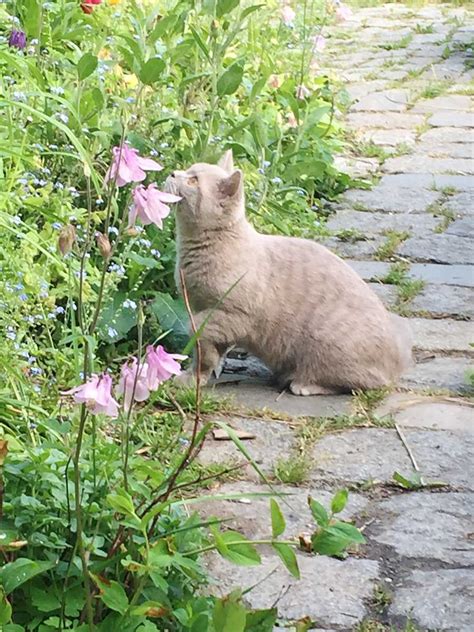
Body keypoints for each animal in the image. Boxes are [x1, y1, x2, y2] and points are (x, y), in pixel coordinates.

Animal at [166, 149, 412, 396]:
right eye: (188, 170)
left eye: (193, 181)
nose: (172, 172)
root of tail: (398, 365)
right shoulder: (198, 307)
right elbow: (204, 352)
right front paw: (197, 375)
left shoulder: (234, 315)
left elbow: (199, 329)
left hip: (326, 342)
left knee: (363, 383)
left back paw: (301, 383)